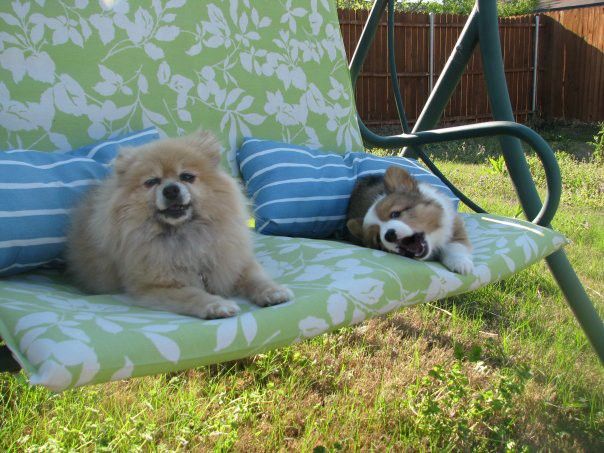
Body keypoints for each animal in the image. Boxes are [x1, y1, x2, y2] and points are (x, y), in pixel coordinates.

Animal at [346, 165, 474, 274]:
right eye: (377, 238)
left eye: (395, 214)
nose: (389, 235)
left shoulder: (454, 225)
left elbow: (457, 245)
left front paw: (460, 263)